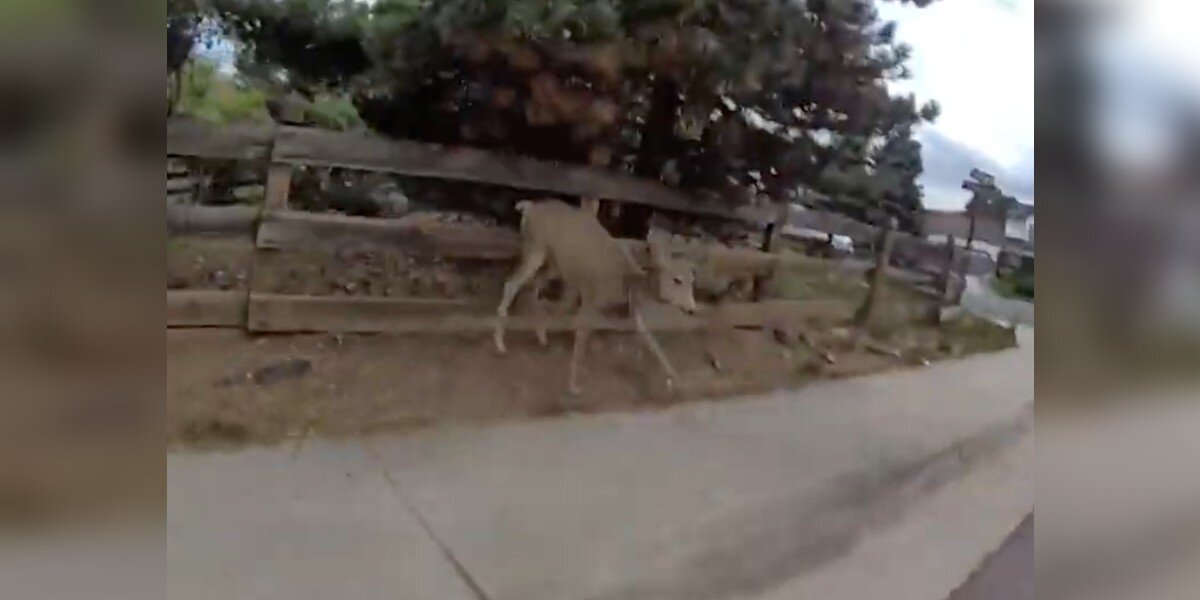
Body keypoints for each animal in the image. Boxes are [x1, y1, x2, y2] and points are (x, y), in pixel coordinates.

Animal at [494, 199, 698, 395]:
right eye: (677, 280)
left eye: (692, 279)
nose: (692, 309)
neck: (626, 283)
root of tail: (528, 207)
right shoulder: (591, 300)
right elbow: (581, 338)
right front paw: (573, 386)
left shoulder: (631, 310)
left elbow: (651, 340)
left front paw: (678, 381)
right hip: (535, 248)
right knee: (513, 284)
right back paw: (501, 344)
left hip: (554, 265)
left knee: (535, 284)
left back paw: (539, 335)